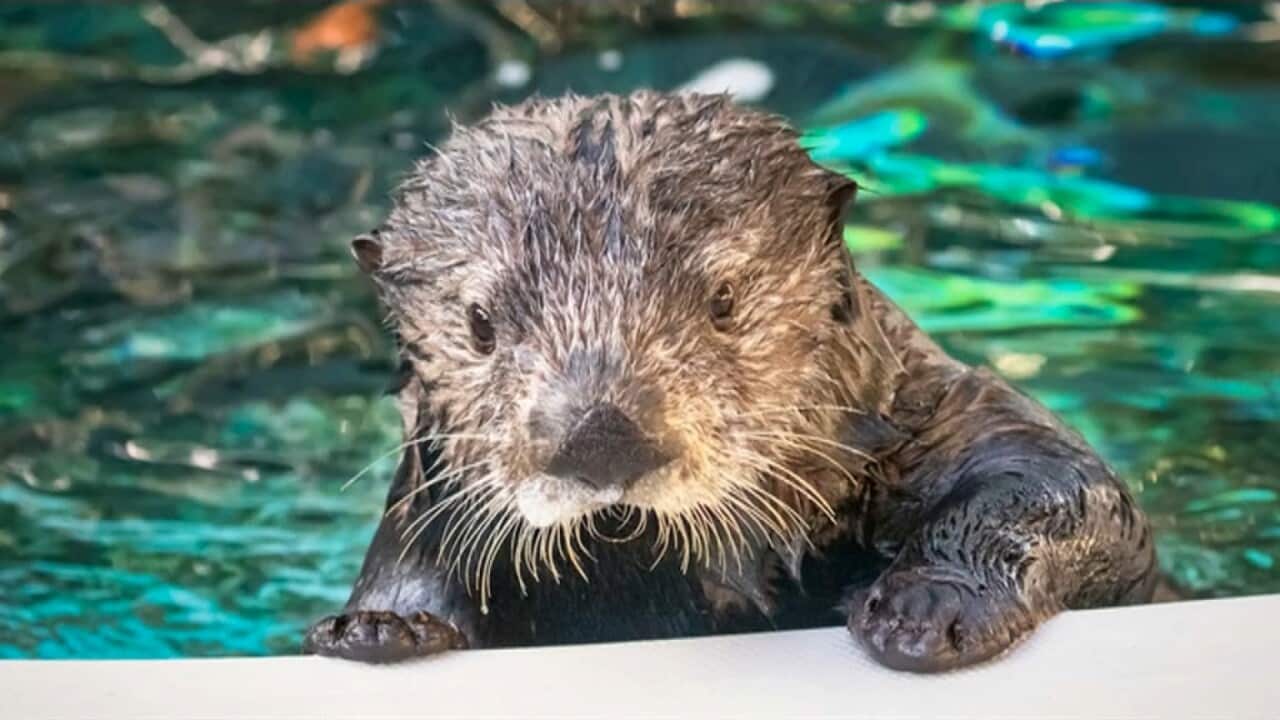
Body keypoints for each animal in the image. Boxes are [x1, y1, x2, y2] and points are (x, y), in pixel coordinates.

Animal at [304, 92, 1156, 673]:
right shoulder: (428, 507)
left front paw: (920, 607)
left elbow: (1053, 482)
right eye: (480, 323)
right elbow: (410, 573)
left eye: (724, 300)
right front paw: (381, 629)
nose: (601, 432)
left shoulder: (938, 413)